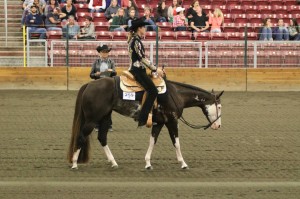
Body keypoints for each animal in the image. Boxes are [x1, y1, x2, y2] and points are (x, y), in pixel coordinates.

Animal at [68, 74, 223, 169]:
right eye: (219, 106)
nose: (218, 125)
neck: (175, 94)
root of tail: (89, 85)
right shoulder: (172, 121)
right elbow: (176, 142)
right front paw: (183, 163)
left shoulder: (159, 123)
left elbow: (152, 141)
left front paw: (148, 163)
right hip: (92, 120)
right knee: (81, 136)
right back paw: (75, 164)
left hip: (105, 117)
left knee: (102, 138)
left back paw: (114, 162)